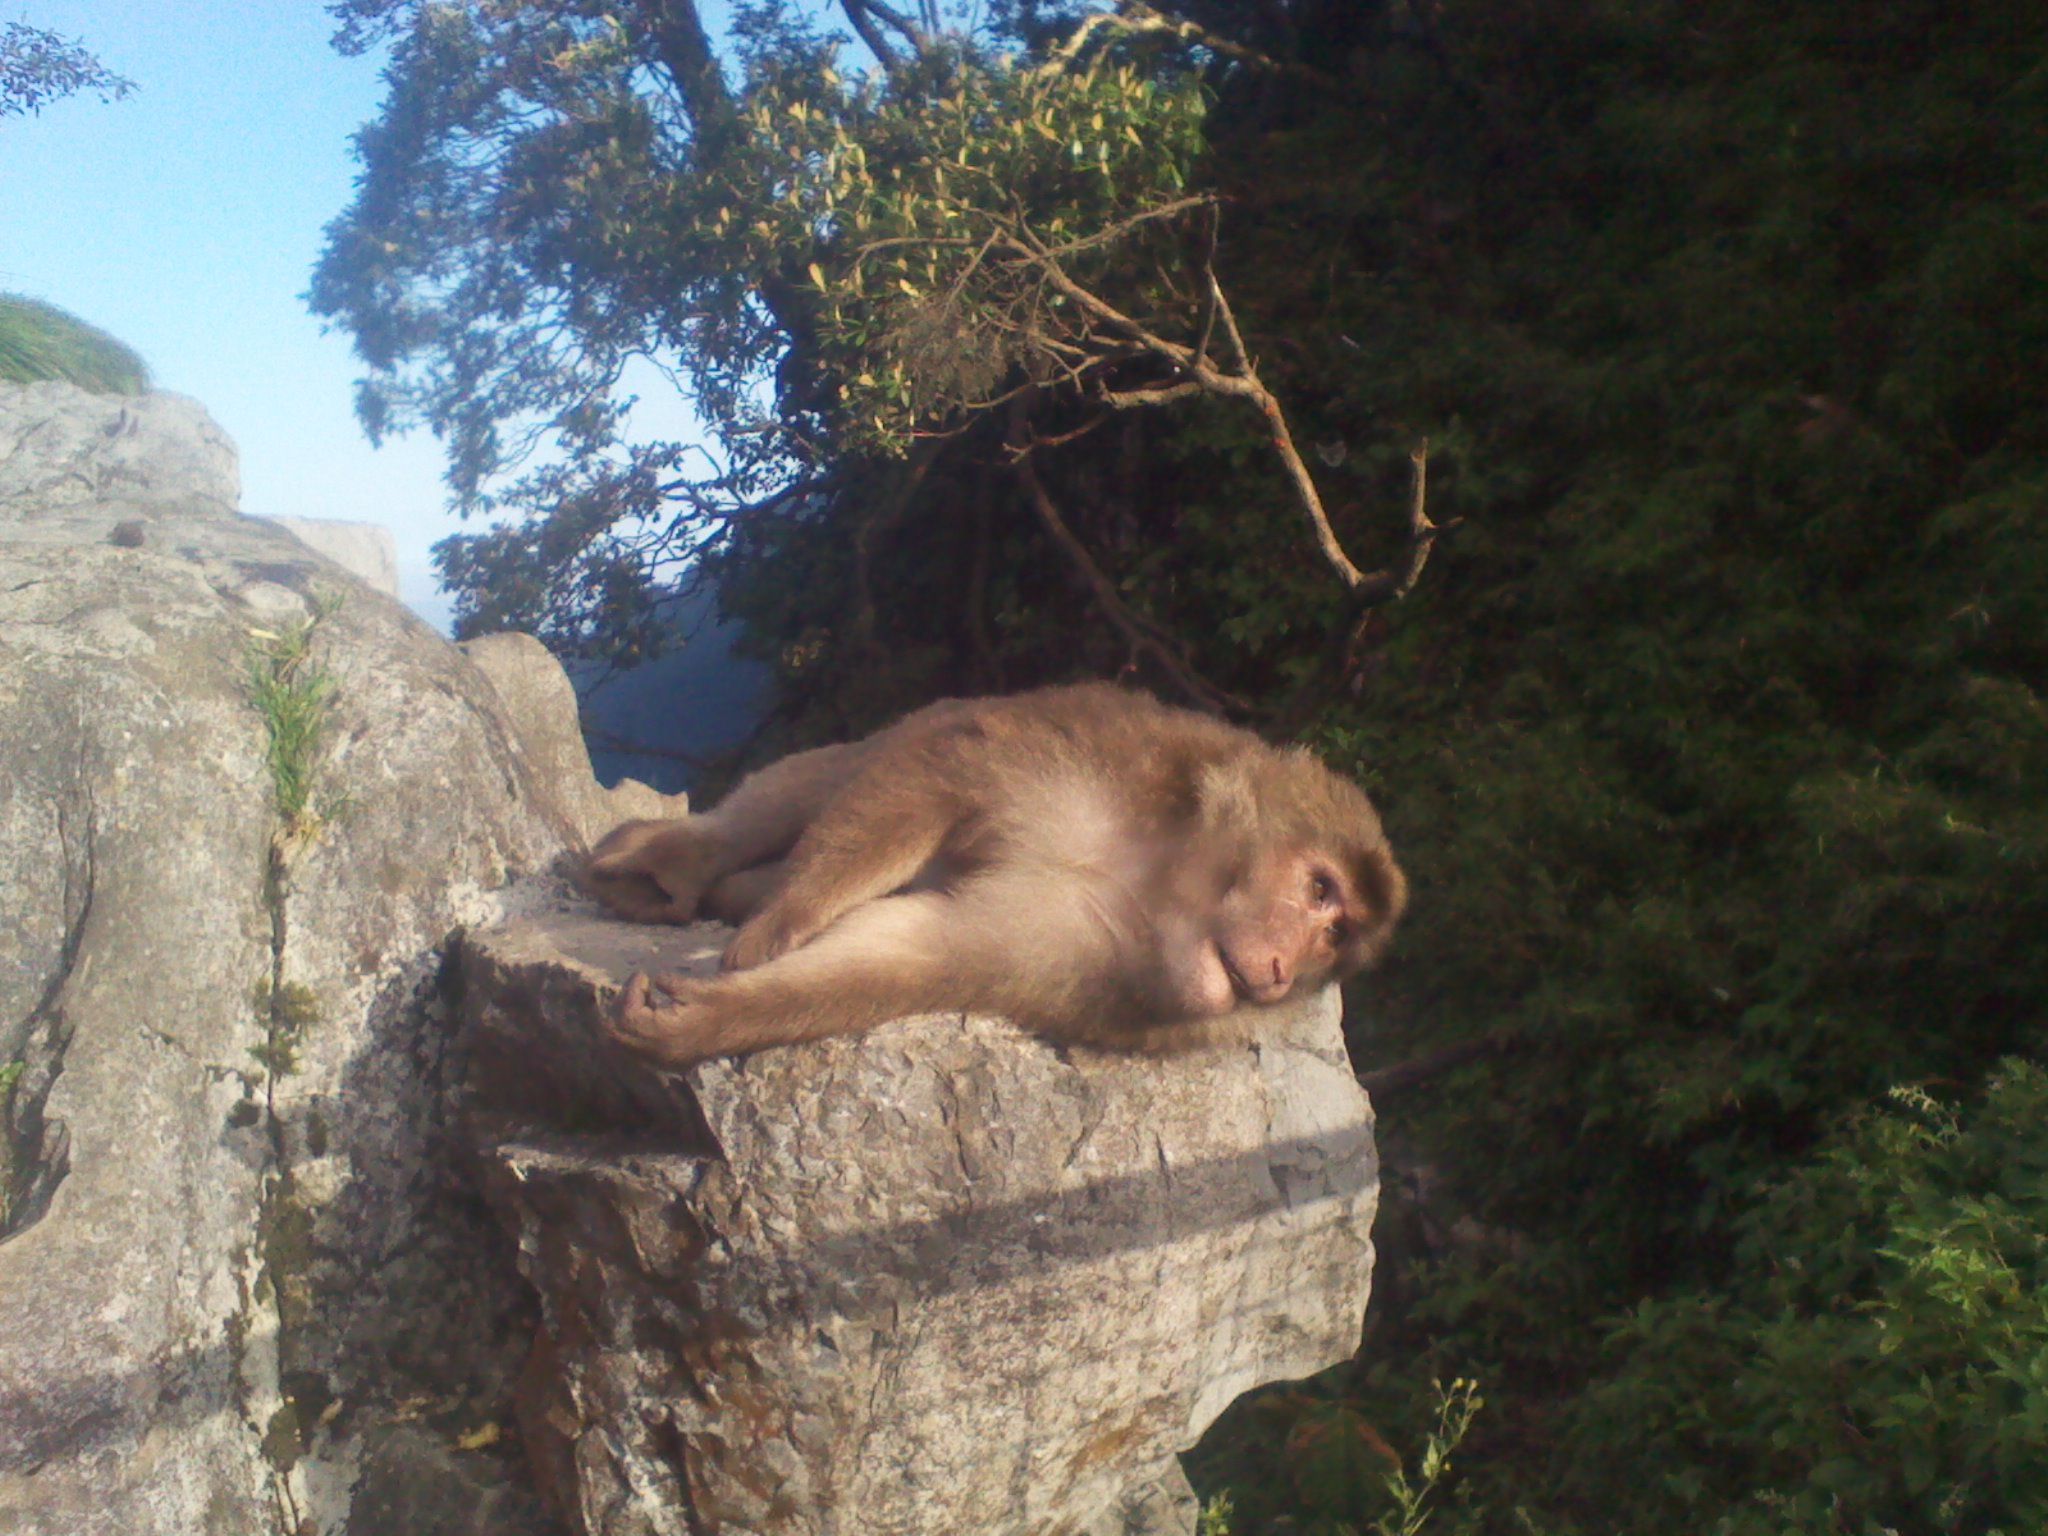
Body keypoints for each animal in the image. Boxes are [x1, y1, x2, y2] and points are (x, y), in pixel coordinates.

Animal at [585, 684, 1400, 1073]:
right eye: (1320, 890)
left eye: (1336, 936)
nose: (1286, 967)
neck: (1158, 878)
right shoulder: (1114, 755)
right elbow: (939, 780)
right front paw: (785, 922)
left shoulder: (1093, 953)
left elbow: (921, 951)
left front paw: (702, 1020)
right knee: (832, 777)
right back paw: (682, 860)